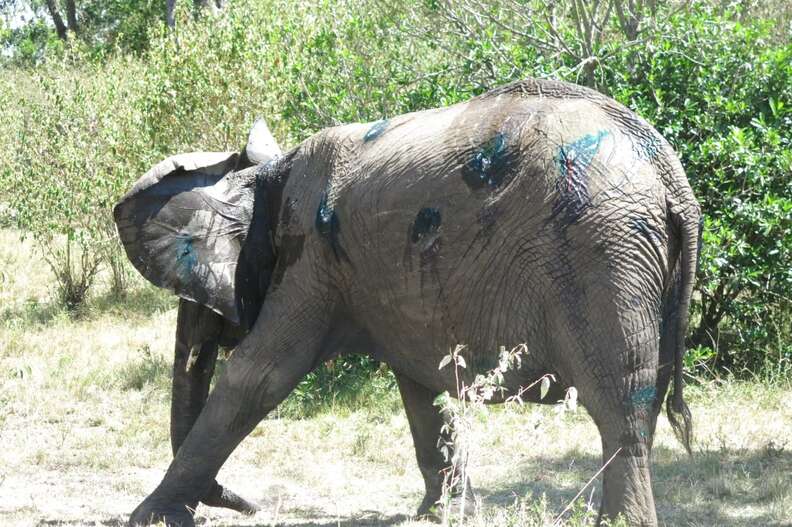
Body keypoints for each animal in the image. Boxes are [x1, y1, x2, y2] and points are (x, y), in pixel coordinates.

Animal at [114, 77, 701, 527]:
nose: (255, 505)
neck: (269, 174)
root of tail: (673, 177)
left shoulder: (311, 258)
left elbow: (258, 376)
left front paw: (148, 517)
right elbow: (422, 387)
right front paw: (444, 515)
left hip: (603, 253)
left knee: (618, 402)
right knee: (641, 402)